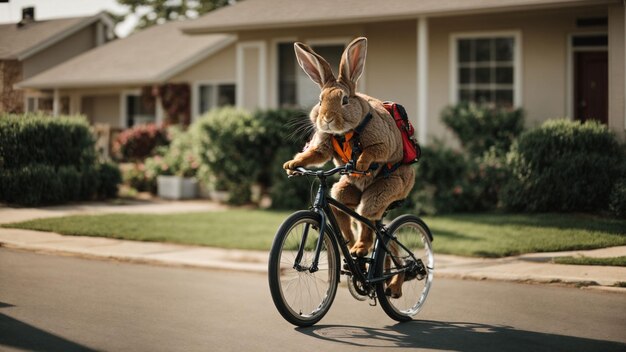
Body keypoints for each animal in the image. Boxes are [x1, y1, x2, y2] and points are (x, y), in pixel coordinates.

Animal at [282, 37, 414, 298]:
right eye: (320, 101)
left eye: (344, 100)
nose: (326, 119)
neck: (345, 133)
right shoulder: (323, 144)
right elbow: (315, 153)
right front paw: (292, 164)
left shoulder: (382, 141)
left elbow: (376, 151)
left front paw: (361, 163)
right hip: (344, 190)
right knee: (353, 215)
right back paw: (355, 249)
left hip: (387, 189)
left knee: (373, 223)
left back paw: (379, 267)